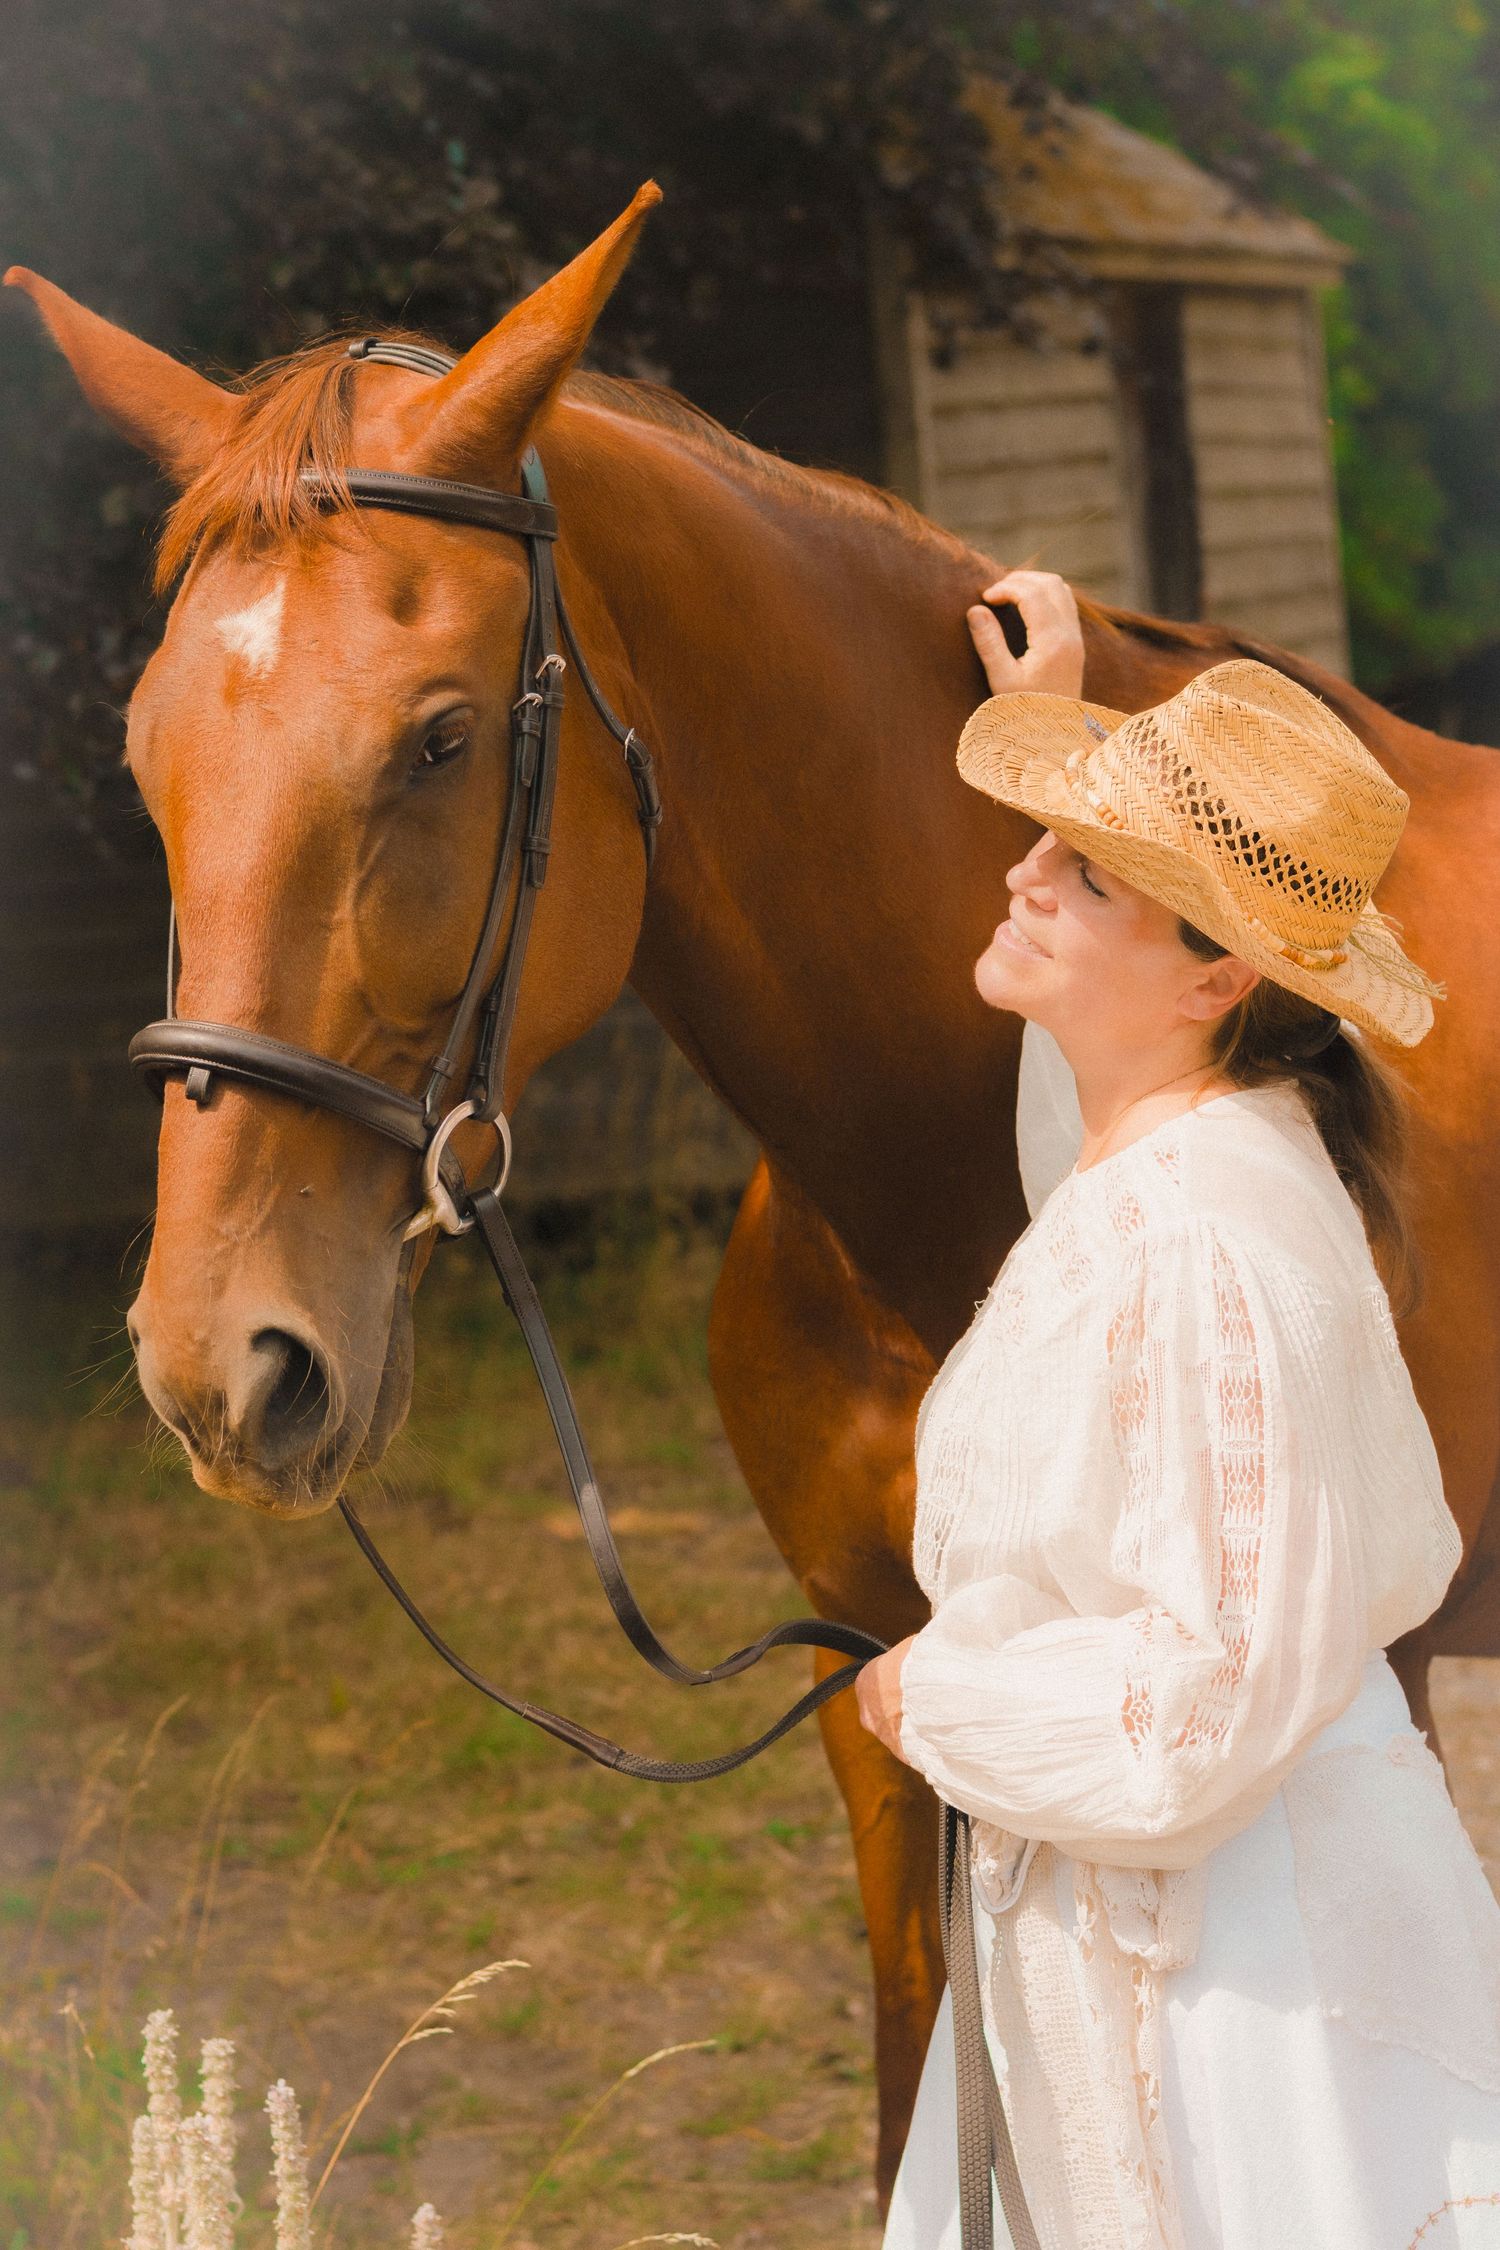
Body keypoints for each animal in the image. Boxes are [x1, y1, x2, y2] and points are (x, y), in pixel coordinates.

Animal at [10, 183, 1500, 2206]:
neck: (935, 1201)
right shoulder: (885, 1703)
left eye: (441, 737)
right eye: (146, 749)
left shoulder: (1372, 1673)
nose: (221, 1364)